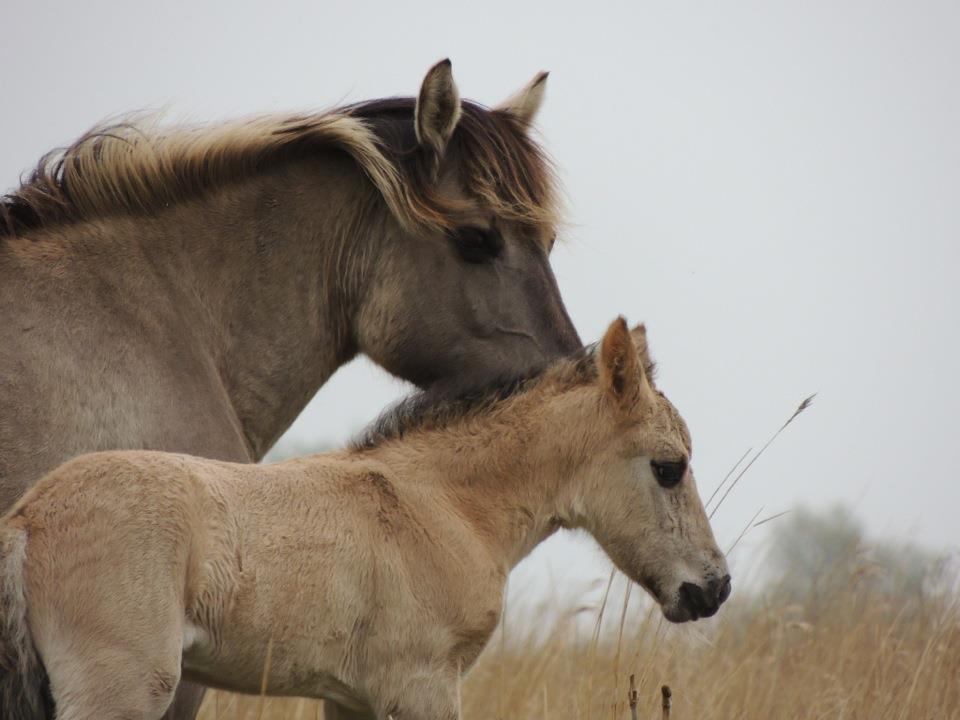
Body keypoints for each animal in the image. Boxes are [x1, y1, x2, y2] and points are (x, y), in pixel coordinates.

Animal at [0, 317, 730, 720]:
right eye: (669, 467)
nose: (714, 587)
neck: (441, 504)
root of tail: (28, 517)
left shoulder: (350, 698)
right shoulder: (422, 688)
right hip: (119, 692)